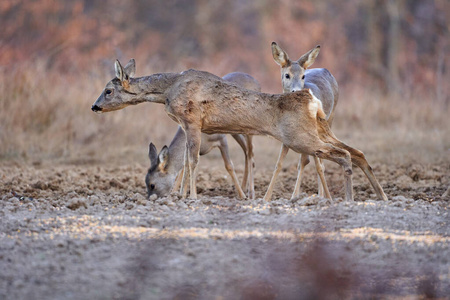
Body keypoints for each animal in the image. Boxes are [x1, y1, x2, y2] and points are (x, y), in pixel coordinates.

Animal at [91, 58, 386, 202]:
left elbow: (192, 161)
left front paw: (191, 197)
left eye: (108, 90)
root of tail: (312, 101)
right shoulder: (187, 126)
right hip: (320, 130)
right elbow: (186, 160)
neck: (167, 89)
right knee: (357, 152)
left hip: (300, 137)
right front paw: (181, 195)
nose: (94, 106)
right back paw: (380, 196)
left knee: (344, 156)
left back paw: (347, 199)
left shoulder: (193, 121)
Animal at [262, 41, 340, 202]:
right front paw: (266, 198)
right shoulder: (286, 134)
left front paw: (327, 197)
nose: (297, 90)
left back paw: (320, 195)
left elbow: (318, 165)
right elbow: (279, 165)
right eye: (287, 75)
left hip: (330, 117)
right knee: (305, 160)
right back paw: (296, 195)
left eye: (303, 76)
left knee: (319, 160)